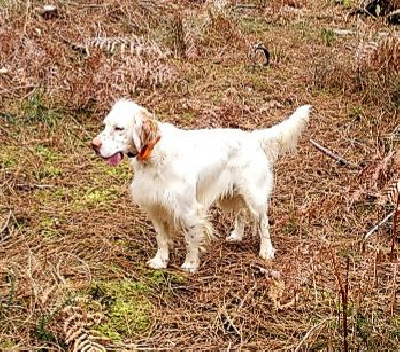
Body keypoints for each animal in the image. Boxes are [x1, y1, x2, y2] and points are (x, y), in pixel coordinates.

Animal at [92, 99, 310, 272]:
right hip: (232, 193)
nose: (94, 145)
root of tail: (252, 137)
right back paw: (236, 236)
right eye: (105, 125)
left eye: (119, 128)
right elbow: (161, 238)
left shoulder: (187, 210)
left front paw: (190, 264)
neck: (154, 156)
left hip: (254, 195)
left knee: (263, 222)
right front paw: (160, 261)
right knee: (241, 214)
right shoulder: (155, 207)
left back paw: (266, 250)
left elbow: (191, 239)